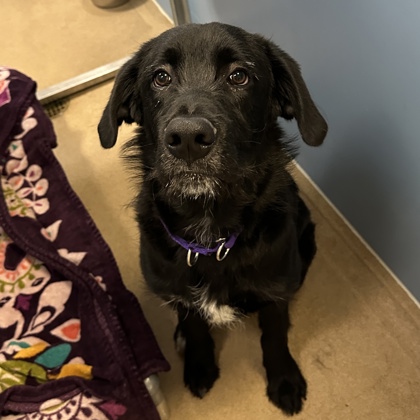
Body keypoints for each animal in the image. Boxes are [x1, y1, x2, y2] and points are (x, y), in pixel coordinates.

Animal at [97, 22, 327, 415]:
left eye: (239, 76)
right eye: (160, 77)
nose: (189, 138)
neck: (210, 236)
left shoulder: (275, 291)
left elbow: (275, 335)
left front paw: (283, 380)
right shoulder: (175, 289)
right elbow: (193, 324)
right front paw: (200, 364)